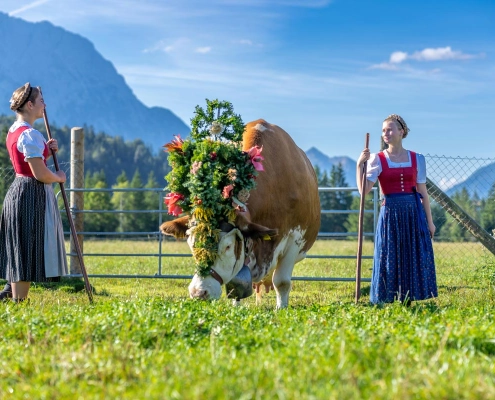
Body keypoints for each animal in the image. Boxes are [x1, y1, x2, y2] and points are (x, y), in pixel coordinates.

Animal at [161, 101, 320, 310]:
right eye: (191, 242)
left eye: (228, 246)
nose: (199, 293)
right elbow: (236, 285)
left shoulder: (294, 239)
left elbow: (282, 281)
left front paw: (281, 309)